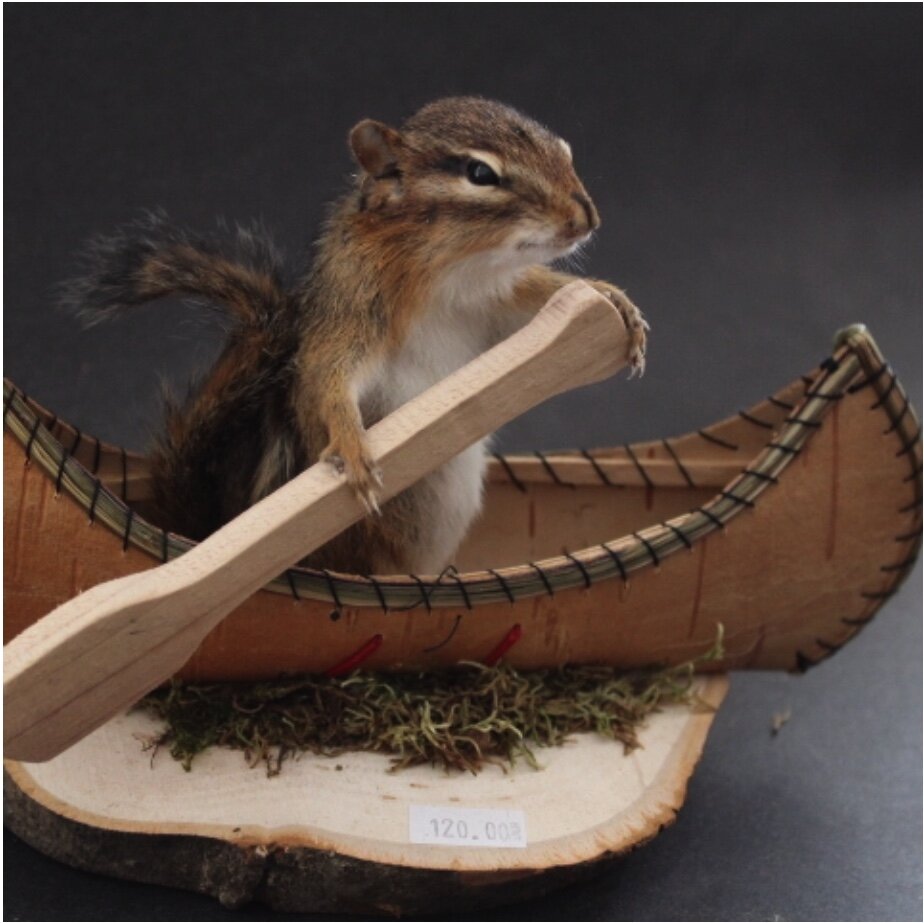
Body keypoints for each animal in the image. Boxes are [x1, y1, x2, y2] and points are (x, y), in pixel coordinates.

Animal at [62, 97, 647, 575]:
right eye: (480, 172)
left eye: (562, 149)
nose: (585, 218)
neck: (453, 269)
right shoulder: (353, 307)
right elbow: (329, 373)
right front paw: (351, 443)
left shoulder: (493, 300)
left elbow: (542, 299)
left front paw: (611, 298)